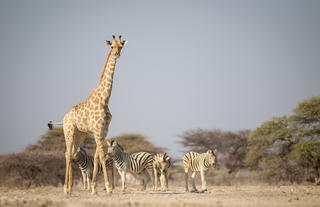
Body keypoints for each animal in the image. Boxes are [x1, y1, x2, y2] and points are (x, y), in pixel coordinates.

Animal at [62, 34, 127, 195]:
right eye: (112, 46)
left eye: (121, 46)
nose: (117, 54)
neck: (105, 99)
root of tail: (65, 117)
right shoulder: (97, 131)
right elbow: (102, 156)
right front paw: (108, 188)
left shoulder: (103, 131)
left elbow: (97, 157)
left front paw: (94, 188)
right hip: (69, 131)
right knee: (67, 153)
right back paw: (65, 189)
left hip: (80, 134)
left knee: (71, 153)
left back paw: (70, 188)